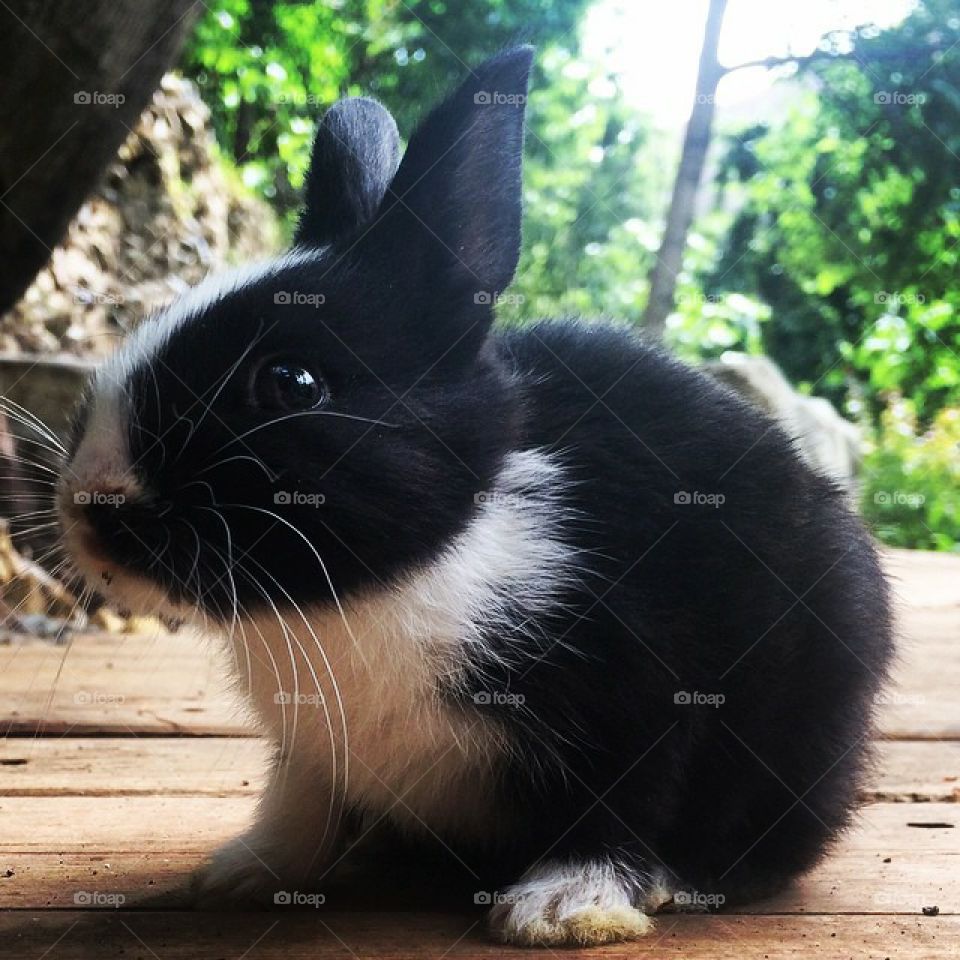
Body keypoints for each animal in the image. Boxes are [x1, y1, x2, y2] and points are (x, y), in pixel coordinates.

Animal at [56, 47, 894, 947]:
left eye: (291, 382)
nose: (93, 502)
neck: (396, 581)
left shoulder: (642, 693)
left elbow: (623, 804)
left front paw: (563, 908)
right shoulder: (313, 751)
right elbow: (301, 807)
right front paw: (243, 873)